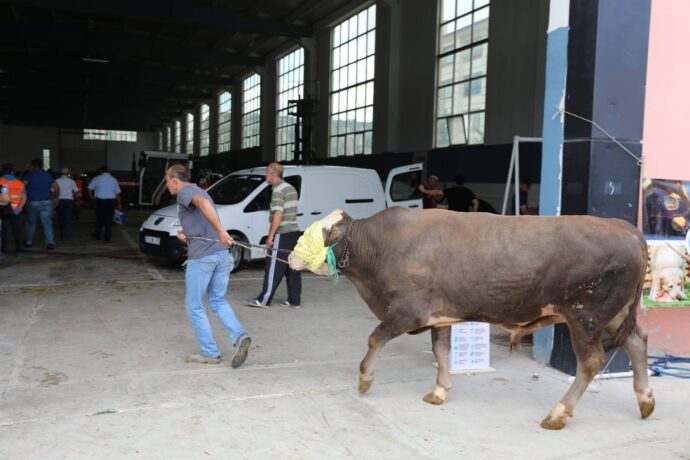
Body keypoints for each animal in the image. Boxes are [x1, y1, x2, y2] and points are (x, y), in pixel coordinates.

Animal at [288, 207, 652, 430]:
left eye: (321, 232)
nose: (290, 256)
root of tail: (623, 226)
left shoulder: (407, 310)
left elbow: (375, 337)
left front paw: (365, 379)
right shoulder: (438, 317)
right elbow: (441, 351)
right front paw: (440, 391)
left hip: (585, 316)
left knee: (591, 361)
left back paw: (558, 414)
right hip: (614, 314)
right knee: (638, 343)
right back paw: (645, 400)